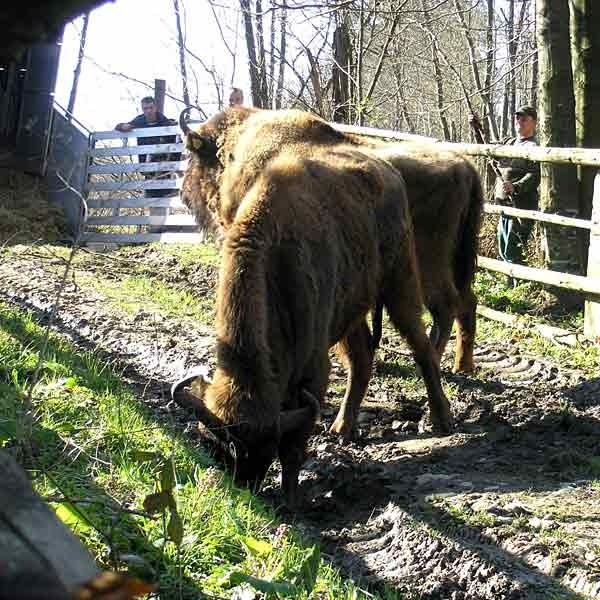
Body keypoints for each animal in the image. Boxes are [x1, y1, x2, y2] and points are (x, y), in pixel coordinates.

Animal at [173, 106, 450, 502]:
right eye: (214, 443)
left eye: (261, 450)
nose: (244, 489)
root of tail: (390, 173)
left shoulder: (313, 366)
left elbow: (295, 447)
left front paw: (291, 500)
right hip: (353, 312)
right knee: (362, 358)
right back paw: (342, 428)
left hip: (400, 283)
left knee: (420, 345)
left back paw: (441, 419)